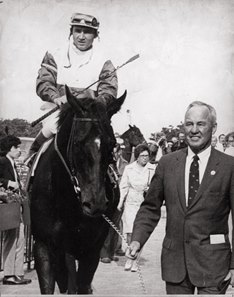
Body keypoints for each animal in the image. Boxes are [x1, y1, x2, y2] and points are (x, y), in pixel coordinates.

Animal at [30, 86, 127, 294]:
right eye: (77, 143)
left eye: (112, 144)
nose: (95, 204)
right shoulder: (43, 245)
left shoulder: (90, 250)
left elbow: (81, 283)